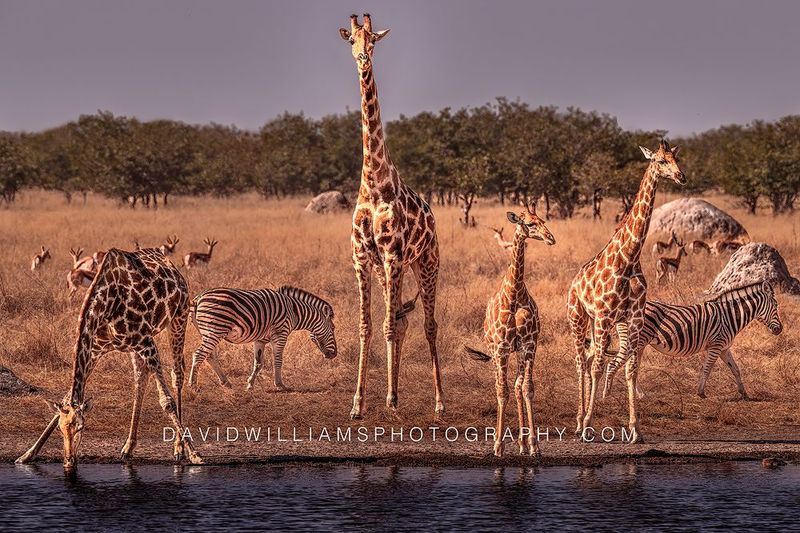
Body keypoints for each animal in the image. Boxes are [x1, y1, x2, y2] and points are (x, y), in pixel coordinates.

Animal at [16, 247, 202, 470]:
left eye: (81, 427)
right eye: (62, 429)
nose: (69, 461)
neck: (105, 306)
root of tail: (172, 266)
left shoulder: (146, 341)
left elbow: (166, 401)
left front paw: (194, 454)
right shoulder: (96, 349)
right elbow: (66, 399)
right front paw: (27, 454)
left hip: (178, 318)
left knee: (177, 373)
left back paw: (179, 448)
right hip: (135, 347)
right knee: (140, 379)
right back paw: (128, 447)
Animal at [340, 14, 444, 418]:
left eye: (374, 40)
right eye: (352, 39)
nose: (362, 58)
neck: (373, 182)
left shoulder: (393, 255)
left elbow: (385, 327)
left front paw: (389, 400)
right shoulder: (363, 258)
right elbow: (368, 327)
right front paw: (358, 404)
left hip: (426, 262)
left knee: (428, 324)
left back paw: (438, 402)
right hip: (391, 271)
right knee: (400, 319)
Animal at [465, 203, 556, 457]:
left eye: (543, 220)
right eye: (531, 224)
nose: (551, 238)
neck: (515, 294)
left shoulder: (529, 345)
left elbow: (526, 388)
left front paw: (534, 445)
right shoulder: (503, 347)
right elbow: (502, 390)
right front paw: (498, 445)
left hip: (517, 352)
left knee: (516, 386)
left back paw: (523, 444)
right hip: (496, 352)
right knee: (501, 386)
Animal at [567, 140, 685, 443]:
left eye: (676, 159)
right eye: (659, 161)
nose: (681, 177)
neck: (630, 259)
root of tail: (574, 281)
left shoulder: (634, 318)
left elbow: (631, 371)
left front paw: (635, 430)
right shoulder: (604, 315)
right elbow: (598, 367)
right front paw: (589, 425)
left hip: (600, 324)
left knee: (588, 356)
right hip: (579, 318)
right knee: (582, 362)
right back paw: (578, 422)